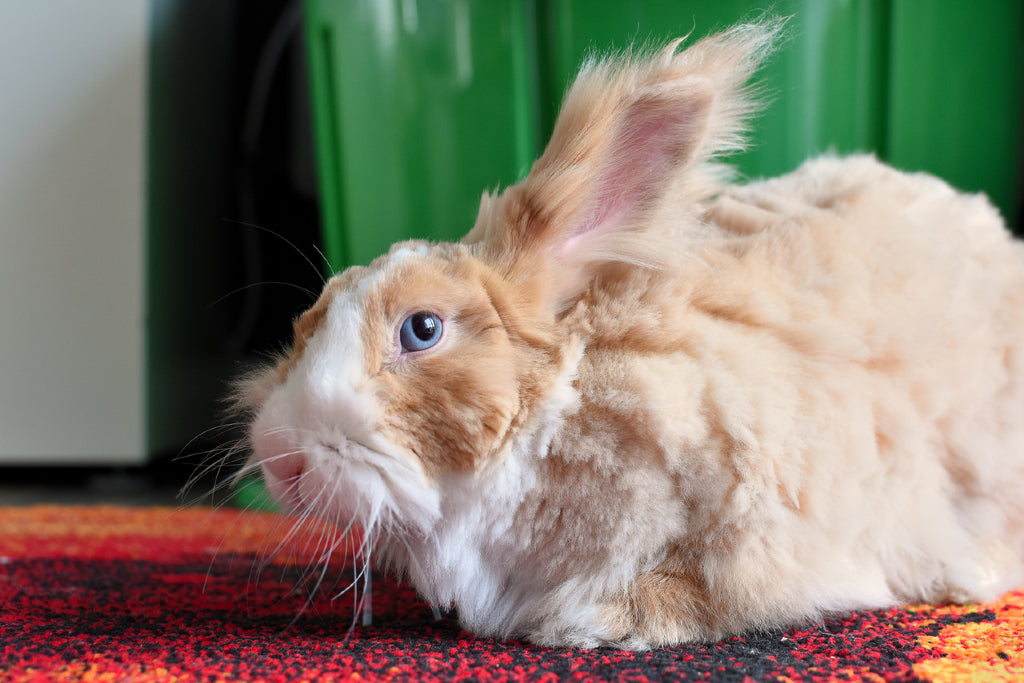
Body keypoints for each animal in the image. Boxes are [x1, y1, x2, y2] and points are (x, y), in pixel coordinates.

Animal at [241, 18, 1024, 651]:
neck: (570, 391)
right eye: (308, 319)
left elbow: (707, 589)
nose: (278, 456)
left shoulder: (771, 536)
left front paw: (590, 621)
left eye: (423, 328)